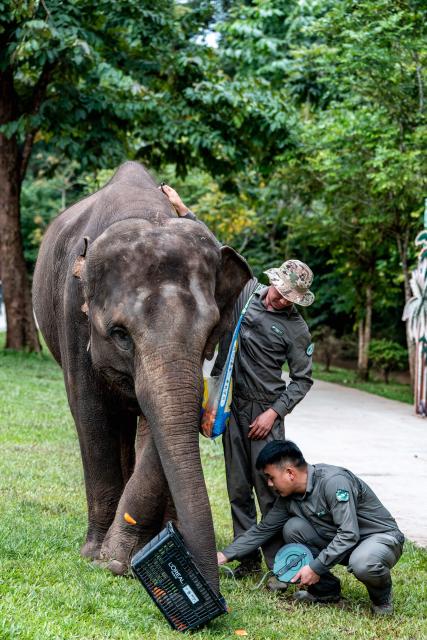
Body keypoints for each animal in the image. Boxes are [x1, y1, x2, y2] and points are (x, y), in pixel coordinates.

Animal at [32, 161, 251, 592]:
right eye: (120, 334)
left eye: (210, 332)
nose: (213, 590)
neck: (144, 213)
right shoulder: (73, 314)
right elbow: (90, 413)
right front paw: (101, 556)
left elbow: (160, 422)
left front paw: (124, 555)